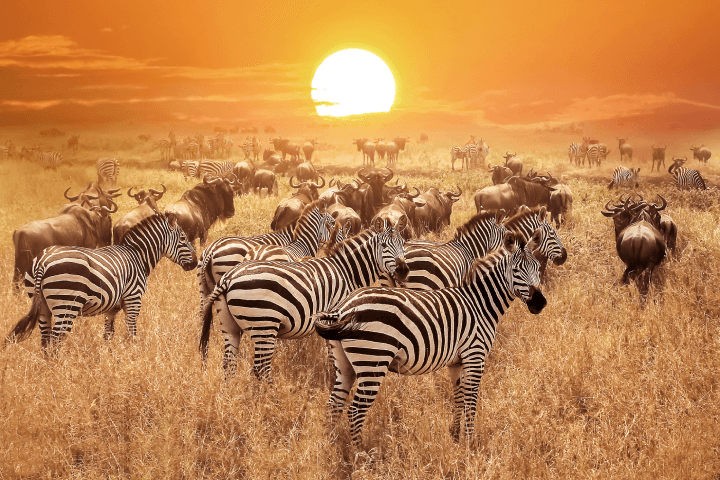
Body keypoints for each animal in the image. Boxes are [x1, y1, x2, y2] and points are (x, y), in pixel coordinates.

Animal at [6, 214, 197, 348]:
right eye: (183, 239)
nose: (195, 263)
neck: (137, 256)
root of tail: (43, 262)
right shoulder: (133, 300)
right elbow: (131, 333)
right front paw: (132, 357)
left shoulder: (111, 309)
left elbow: (108, 335)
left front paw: (110, 360)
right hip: (66, 305)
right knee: (55, 341)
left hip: (42, 306)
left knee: (45, 340)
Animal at [200, 219, 408, 380]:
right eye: (384, 246)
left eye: (403, 244)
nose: (403, 271)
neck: (346, 271)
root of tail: (228, 278)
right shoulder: (334, 317)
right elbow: (332, 354)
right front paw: (332, 376)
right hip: (264, 324)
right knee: (260, 368)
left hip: (230, 325)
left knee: (229, 363)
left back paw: (231, 396)